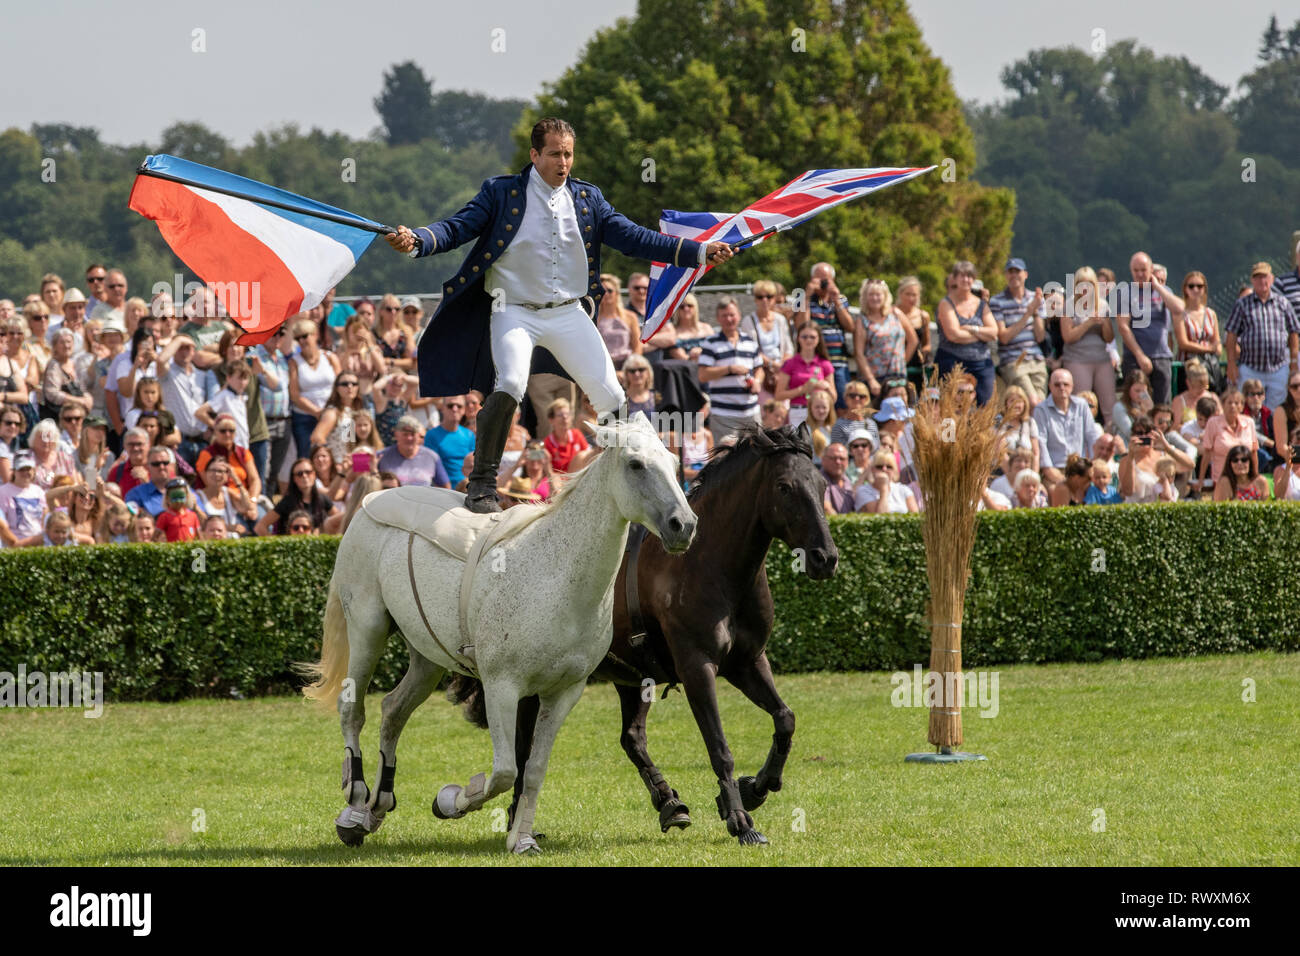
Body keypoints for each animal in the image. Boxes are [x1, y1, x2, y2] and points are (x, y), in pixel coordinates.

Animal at [299, 411, 696, 854]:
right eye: (636, 465)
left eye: (674, 464)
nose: (684, 525)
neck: (556, 574)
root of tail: (373, 500)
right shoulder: (502, 687)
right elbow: (505, 771)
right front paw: (451, 800)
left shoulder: (563, 693)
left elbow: (534, 769)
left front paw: (521, 839)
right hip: (366, 629)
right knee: (352, 708)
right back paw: (354, 806)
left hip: (426, 659)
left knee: (392, 711)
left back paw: (377, 807)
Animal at [496, 423, 839, 845]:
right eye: (784, 486)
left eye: (821, 484)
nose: (825, 557)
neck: (711, 567)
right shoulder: (697, 668)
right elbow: (719, 747)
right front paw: (740, 820)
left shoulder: (748, 663)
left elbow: (785, 719)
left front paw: (755, 789)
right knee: (524, 746)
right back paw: (518, 820)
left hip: (631, 678)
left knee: (632, 738)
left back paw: (669, 802)